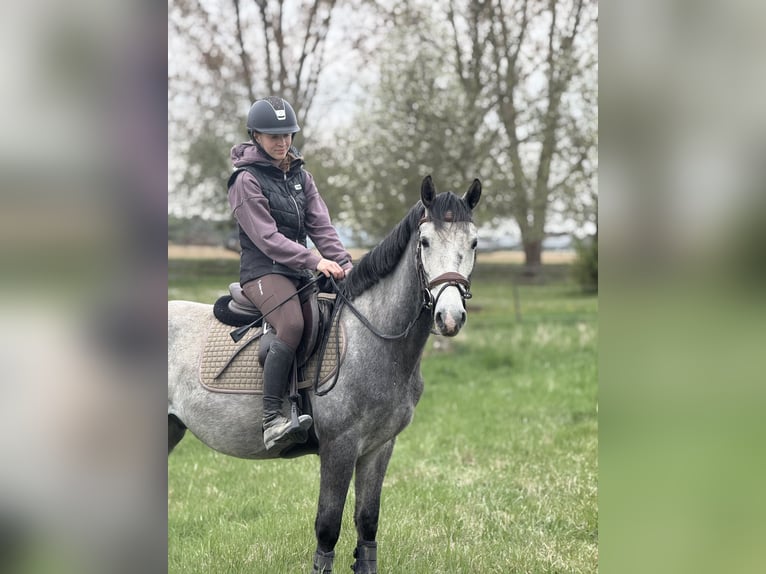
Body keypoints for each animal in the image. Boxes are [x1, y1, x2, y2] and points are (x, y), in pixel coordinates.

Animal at [168, 175, 481, 573]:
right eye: (425, 241)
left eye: (473, 242)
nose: (449, 317)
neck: (371, 336)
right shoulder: (339, 447)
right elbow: (328, 527)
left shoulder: (379, 447)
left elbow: (367, 522)